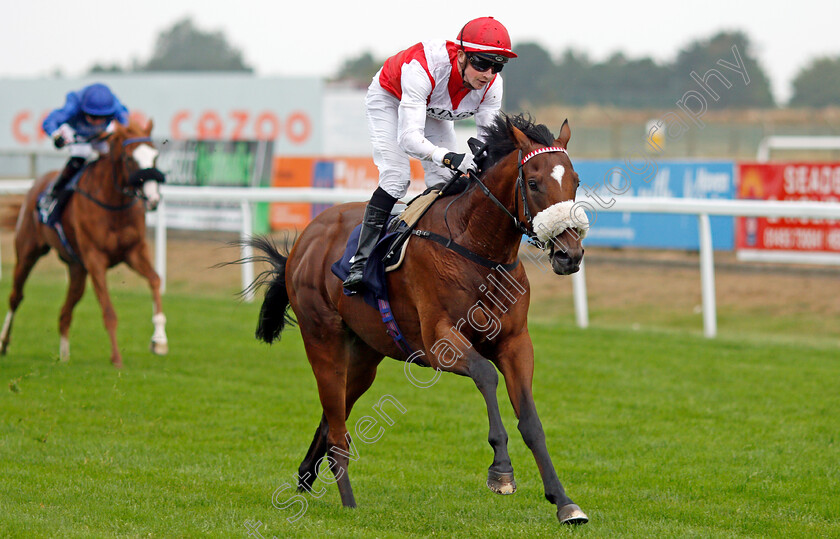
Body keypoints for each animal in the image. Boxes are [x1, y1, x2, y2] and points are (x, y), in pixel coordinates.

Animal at [0, 120, 171, 370]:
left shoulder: (133, 252)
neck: (114, 205)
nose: (153, 199)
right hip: (27, 253)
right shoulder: (95, 258)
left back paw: (64, 357)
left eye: (155, 155)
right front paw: (116, 358)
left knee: (65, 312)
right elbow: (108, 311)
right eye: (129, 158)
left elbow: (155, 280)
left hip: (77, 268)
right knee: (16, 297)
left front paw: (159, 341)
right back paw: (4, 343)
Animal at [249, 114, 592, 524]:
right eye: (535, 183)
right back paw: (349, 504)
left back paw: (304, 478)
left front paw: (564, 502)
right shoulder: (440, 342)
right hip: (322, 340)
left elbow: (532, 422)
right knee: (336, 430)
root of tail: (307, 237)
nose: (569, 253)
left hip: (363, 357)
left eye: (575, 181)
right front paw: (501, 471)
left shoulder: (515, 343)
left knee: (332, 419)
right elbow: (486, 375)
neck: (477, 247)